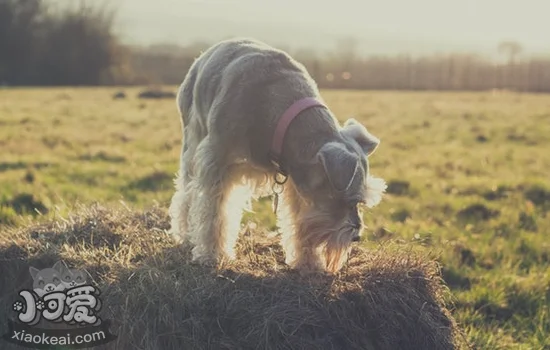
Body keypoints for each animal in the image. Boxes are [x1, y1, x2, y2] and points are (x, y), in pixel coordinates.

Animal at [169, 39, 388, 274]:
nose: (356, 237)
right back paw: (185, 233)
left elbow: (298, 220)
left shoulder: (296, 181)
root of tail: (205, 54)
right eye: (348, 200)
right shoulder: (217, 162)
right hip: (192, 141)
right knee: (186, 193)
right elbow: (214, 214)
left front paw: (308, 261)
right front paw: (211, 255)